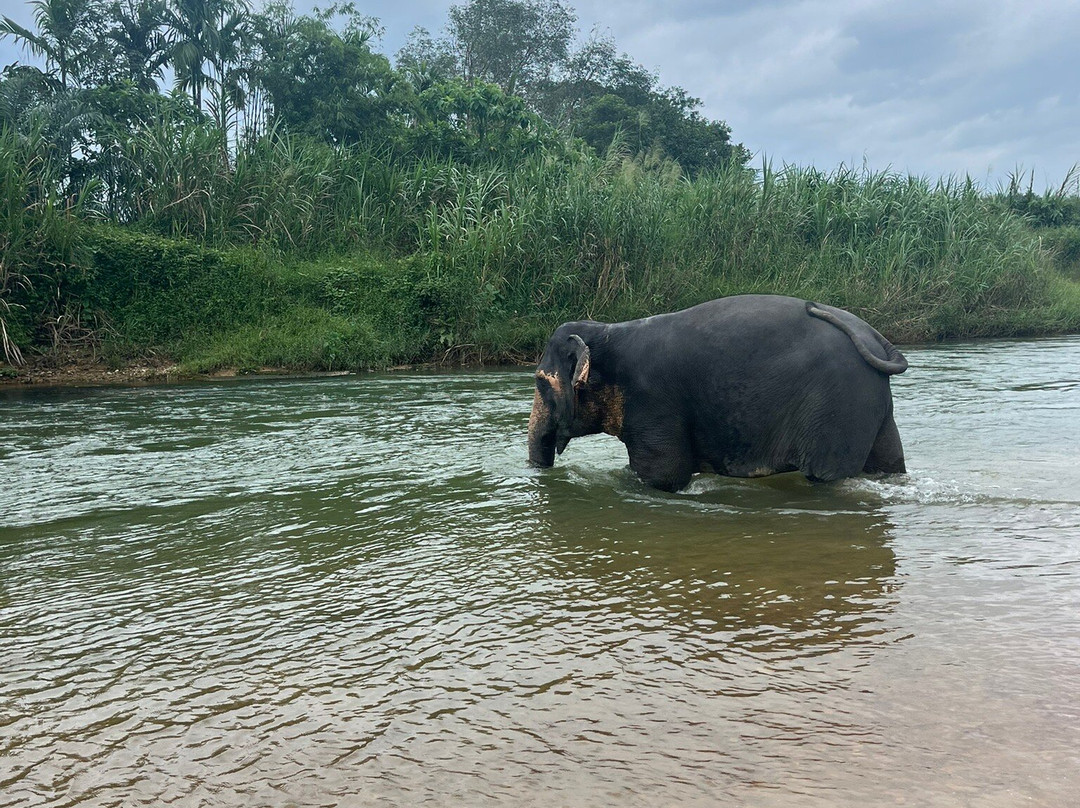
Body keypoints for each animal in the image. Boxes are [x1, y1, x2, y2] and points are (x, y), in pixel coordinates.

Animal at [527, 294, 908, 491]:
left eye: (540, 382)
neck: (608, 330)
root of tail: (872, 335)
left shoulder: (653, 400)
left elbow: (664, 475)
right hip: (869, 403)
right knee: (888, 462)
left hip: (836, 406)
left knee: (826, 476)